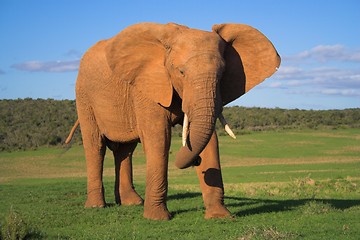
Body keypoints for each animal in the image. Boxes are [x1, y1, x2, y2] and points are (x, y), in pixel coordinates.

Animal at [67, 22, 282, 219]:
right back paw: (96, 206)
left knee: (125, 150)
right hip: (84, 95)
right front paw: (157, 218)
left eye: (222, 74)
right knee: (95, 146)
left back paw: (132, 203)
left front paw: (220, 216)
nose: (196, 160)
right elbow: (159, 139)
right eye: (181, 72)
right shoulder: (147, 86)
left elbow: (210, 141)